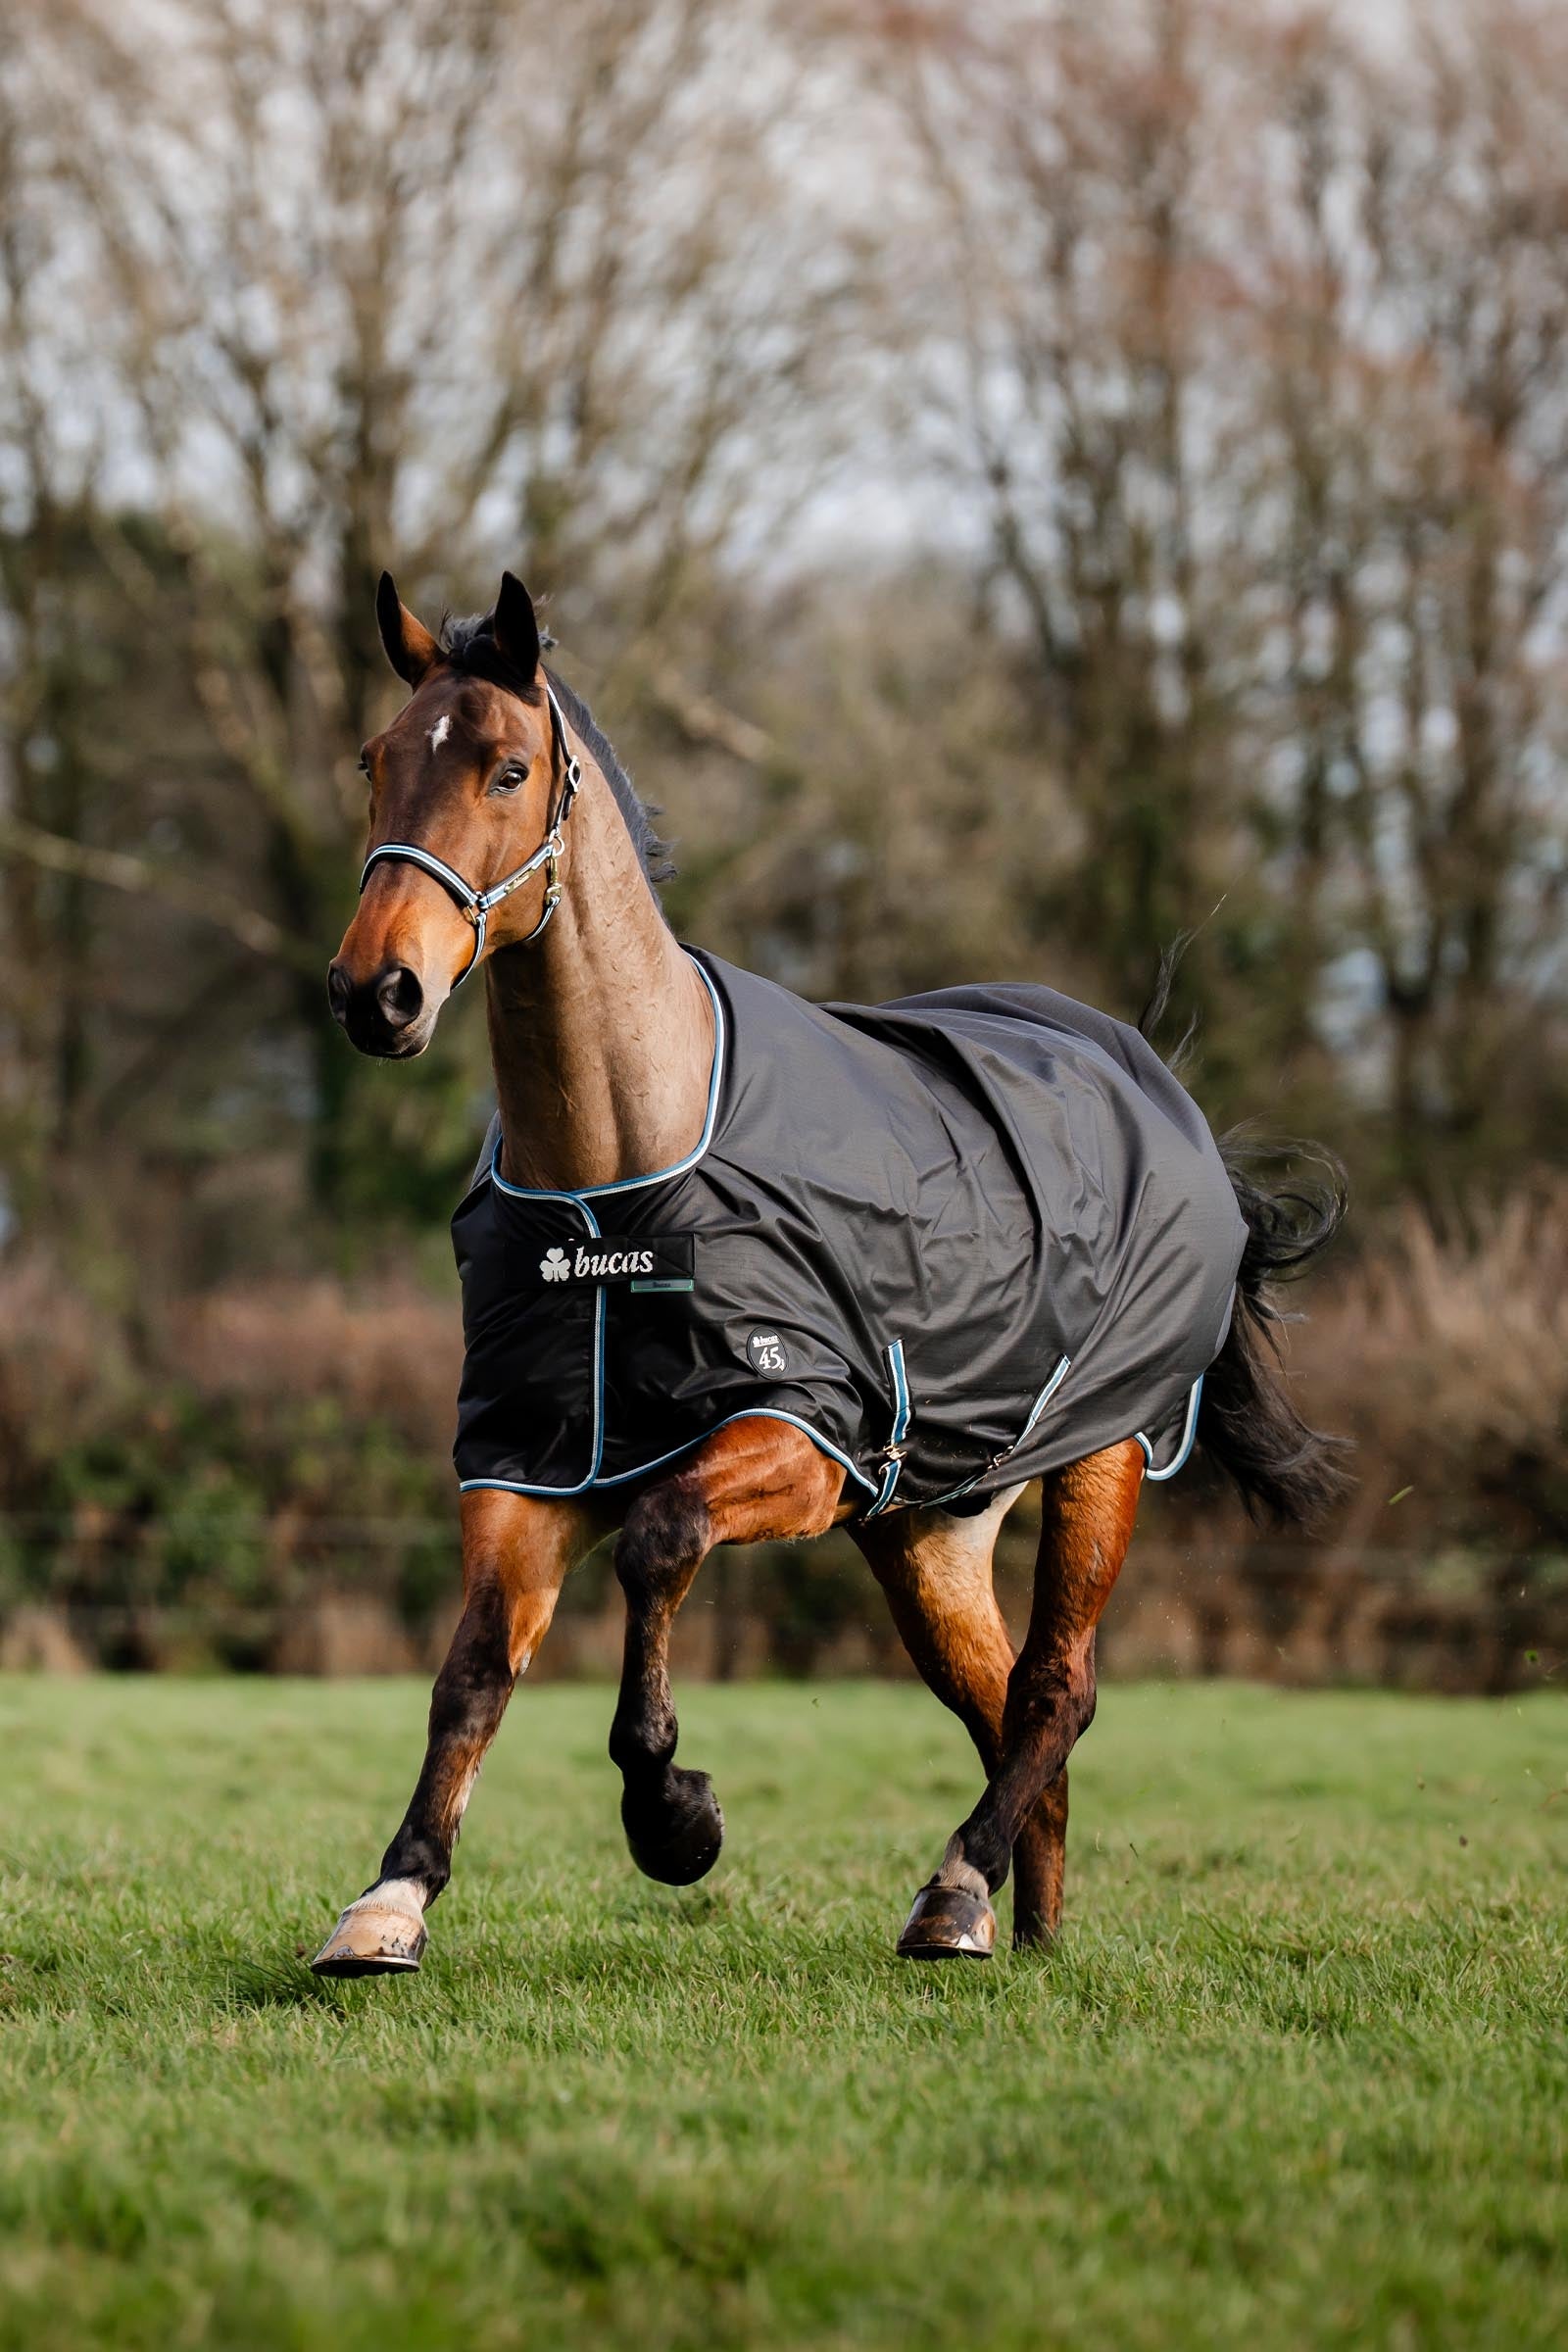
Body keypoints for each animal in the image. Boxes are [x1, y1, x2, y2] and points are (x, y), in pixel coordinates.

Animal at [311, 570, 1346, 1975]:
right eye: (376, 761)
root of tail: (1159, 1094)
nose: (379, 992)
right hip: (926, 1533)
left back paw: (953, 1894)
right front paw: (391, 1897)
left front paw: (673, 1814)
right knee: (1007, 1712)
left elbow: (659, 1539)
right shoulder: (526, 1463)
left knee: (1055, 1688)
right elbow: (471, 1671)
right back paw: (1022, 1933)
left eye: (507, 769)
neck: (616, 1184)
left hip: (1100, 1458)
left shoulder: (798, 1437)